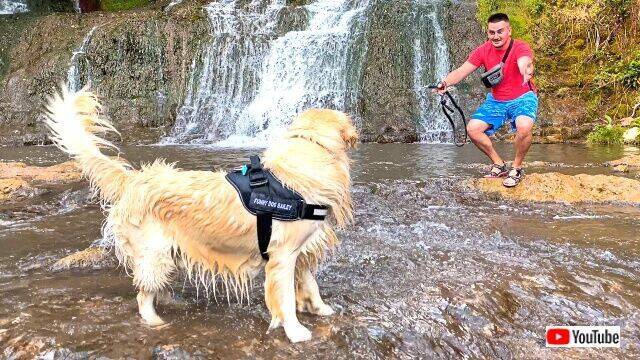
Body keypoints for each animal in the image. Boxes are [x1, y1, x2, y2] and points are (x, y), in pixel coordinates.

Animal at [42, 87, 358, 344]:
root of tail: (134, 179)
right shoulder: (282, 256)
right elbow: (286, 300)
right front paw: (296, 332)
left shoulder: (302, 250)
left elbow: (310, 284)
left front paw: (320, 309)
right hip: (154, 252)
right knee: (143, 294)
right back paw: (155, 321)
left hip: (168, 252)